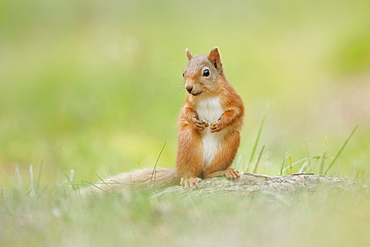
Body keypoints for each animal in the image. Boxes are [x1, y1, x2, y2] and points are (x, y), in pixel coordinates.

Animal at [80, 46, 243, 193]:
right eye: (183, 73)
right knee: (193, 173)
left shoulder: (232, 97)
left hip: (228, 146)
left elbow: (237, 111)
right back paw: (189, 179)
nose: (188, 88)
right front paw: (194, 121)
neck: (206, 95)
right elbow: (185, 112)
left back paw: (223, 171)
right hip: (189, 144)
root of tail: (178, 171)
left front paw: (221, 123)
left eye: (206, 72)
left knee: (208, 174)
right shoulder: (189, 102)